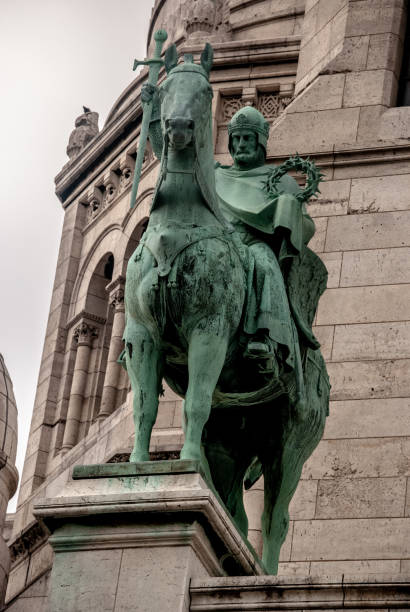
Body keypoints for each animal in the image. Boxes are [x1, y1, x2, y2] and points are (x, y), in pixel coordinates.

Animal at [122, 44, 330, 572]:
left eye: (203, 92)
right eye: (167, 88)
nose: (176, 127)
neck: (178, 225)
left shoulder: (209, 332)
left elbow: (194, 400)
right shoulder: (142, 335)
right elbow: (146, 405)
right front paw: (137, 467)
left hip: (291, 443)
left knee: (276, 520)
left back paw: (263, 578)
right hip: (231, 442)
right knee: (234, 510)